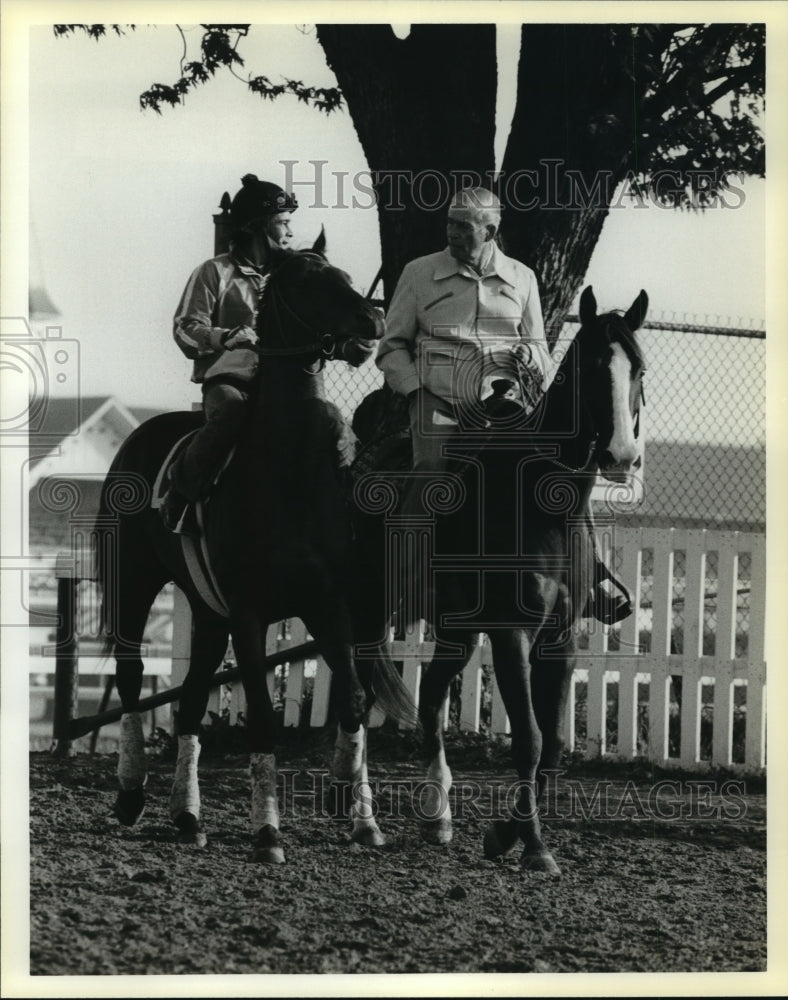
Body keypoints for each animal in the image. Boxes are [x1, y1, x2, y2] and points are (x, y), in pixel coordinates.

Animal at [96, 234, 416, 860]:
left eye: (346, 275)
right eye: (307, 280)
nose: (371, 321)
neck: (289, 470)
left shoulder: (329, 607)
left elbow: (352, 701)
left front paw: (362, 819)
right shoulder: (249, 615)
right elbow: (265, 720)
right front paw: (268, 832)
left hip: (205, 608)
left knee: (192, 700)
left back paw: (188, 816)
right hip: (134, 582)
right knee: (131, 674)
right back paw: (130, 795)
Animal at [350, 288, 648, 876]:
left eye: (639, 370)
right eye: (588, 367)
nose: (621, 456)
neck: (541, 504)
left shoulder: (561, 639)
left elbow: (553, 744)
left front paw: (504, 834)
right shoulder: (513, 634)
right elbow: (528, 739)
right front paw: (532, 846)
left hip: (455, 633)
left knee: (431, 702)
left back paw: (437, 817)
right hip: (366, 618)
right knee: (358, 706)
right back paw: (364, 820)